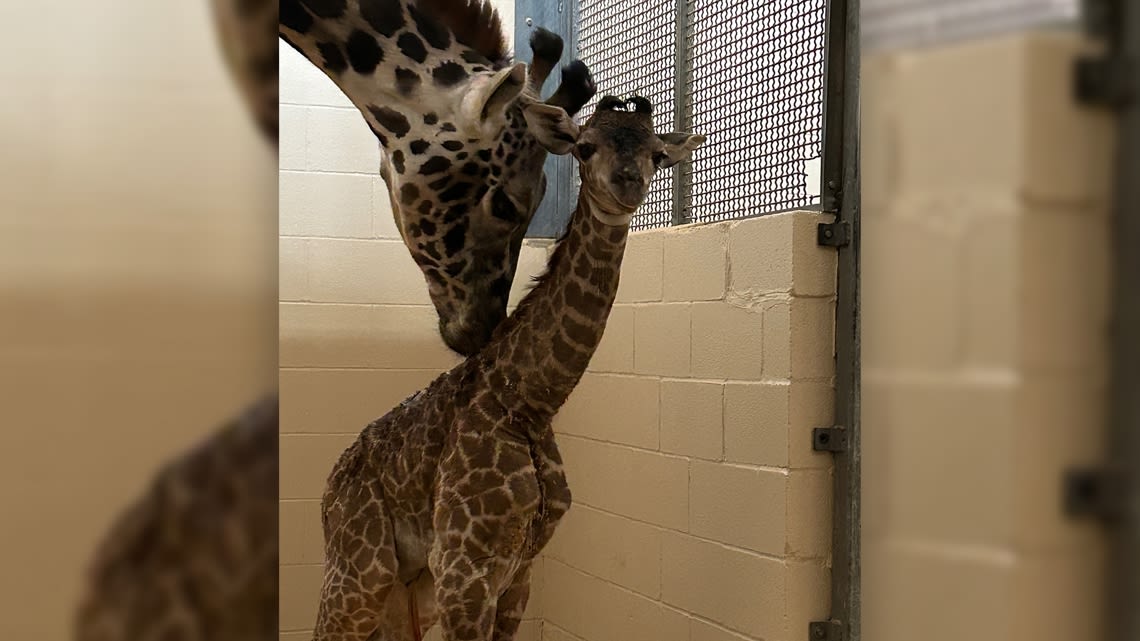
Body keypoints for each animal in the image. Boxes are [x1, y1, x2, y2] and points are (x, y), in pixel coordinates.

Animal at [314, 95, 702, 638]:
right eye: (584, 147)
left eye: (658, 154)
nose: (627, 183)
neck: (529, 404)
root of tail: (326, 497)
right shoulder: (464, 566)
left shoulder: (520, 571)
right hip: (360, 572)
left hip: (407, 586)